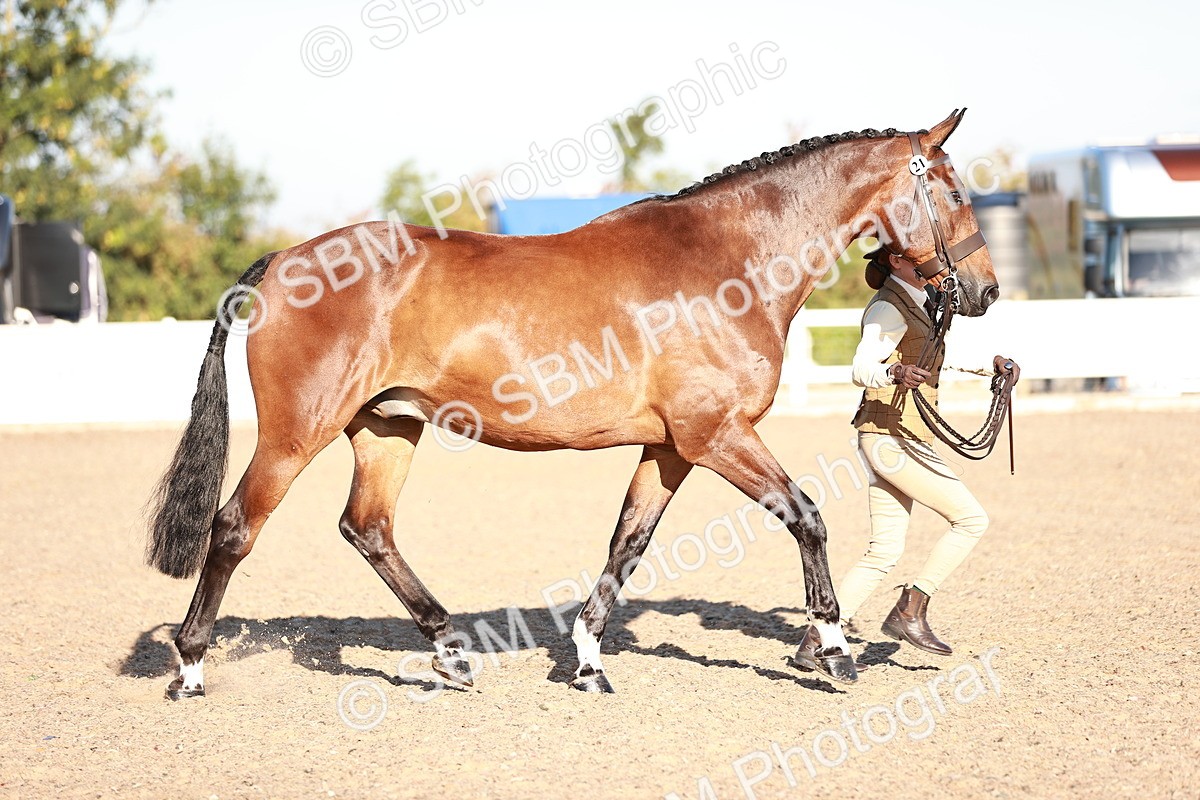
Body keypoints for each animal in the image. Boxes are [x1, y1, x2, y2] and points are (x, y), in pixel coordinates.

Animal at [146, 109, 998, 699]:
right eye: (954, 189)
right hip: (297, 434)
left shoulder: (671, 448)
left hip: (386, 429)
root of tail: (285, 260)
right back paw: (189, 668)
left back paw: (452, 654)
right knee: (234, 529)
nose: (985, 291)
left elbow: (628, 543)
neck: (728, 262)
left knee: (369, 530)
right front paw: (835, 652)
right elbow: (807, 517)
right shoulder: (717, 435)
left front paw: (587, 661)